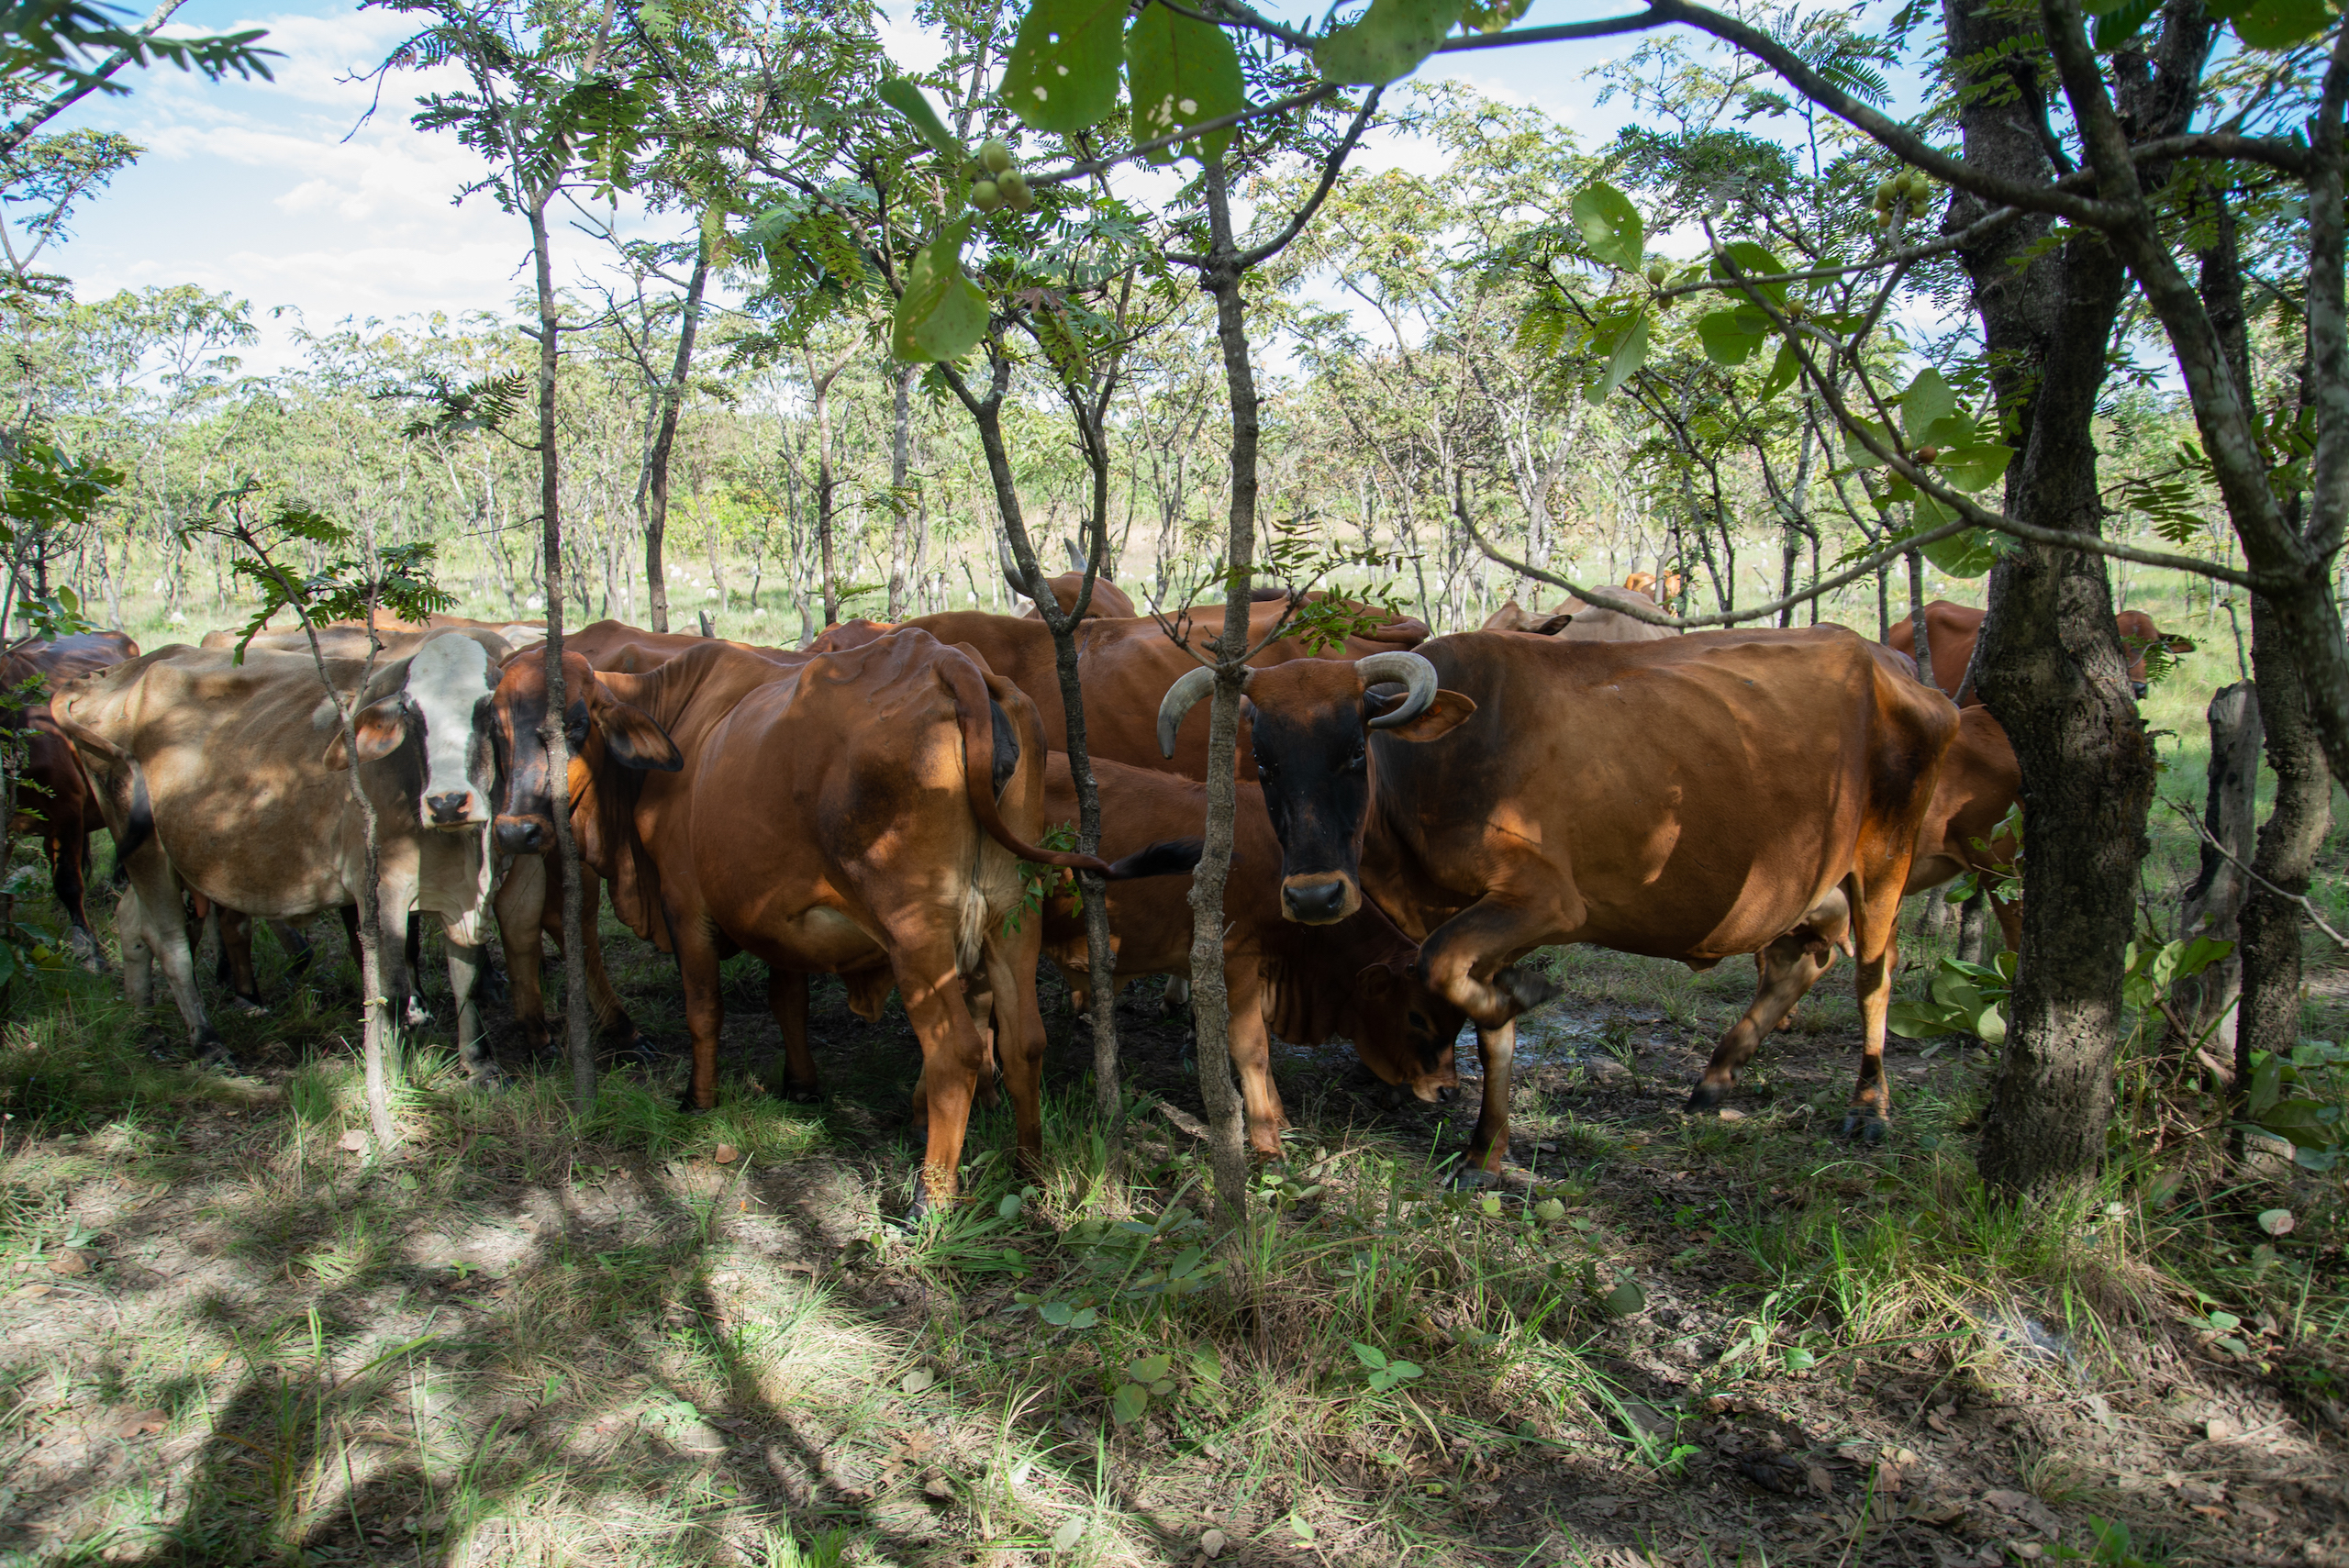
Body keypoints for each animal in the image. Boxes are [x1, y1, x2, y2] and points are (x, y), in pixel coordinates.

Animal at [54, 631, 508, 1074]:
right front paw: (392, 1074)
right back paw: (207, 1042)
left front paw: (478, 1064)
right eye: (411, 713)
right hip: (145, 849)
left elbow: (466, 980)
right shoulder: (381, 891)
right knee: (170, 943)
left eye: (486, 706)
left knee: (131, 922)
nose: (447, 803)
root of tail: (114, 674)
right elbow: (392, 991)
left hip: (166, 854)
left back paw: (146, 1025)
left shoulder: (466, 897)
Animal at [487, 632, 1137, 1213]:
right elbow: (788, 1000)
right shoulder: (779, 916)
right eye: (496, 730)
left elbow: (704, 1012)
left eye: (573, 726)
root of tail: (951, 663)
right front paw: (800, 1084)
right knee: (1025, 1040)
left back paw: (930, 1199)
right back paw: (1028, 1170)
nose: (516, 830)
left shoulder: (685, 905)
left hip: (916, 931)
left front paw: (699, 1098)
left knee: (956, 1051)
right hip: (1010, 918)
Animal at [1033, 753, 1468, 1153]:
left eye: (1459, 1019)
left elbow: (1265, 1052)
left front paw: (1281, 1118)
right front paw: (1267, 1143)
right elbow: (1252, 1050)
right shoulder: (1234, 963)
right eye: (1416, 1016)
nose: (1448, 1090)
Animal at [1158, 628, 1958, 1175]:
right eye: (1265, 761)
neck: (1437, 772)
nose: (1316, 895)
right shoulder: (1459, 913)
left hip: (1884, 858)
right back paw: (1714, 1077)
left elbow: (1445, 969)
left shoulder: (1545, 900)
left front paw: (1523, 996)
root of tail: (1894, 666)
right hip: (1808, 880)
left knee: (1874, 974)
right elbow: (1482, 1017)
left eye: (1354, 750)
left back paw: (1869, 1106)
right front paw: (1486, 1149)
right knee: (1803, 957)